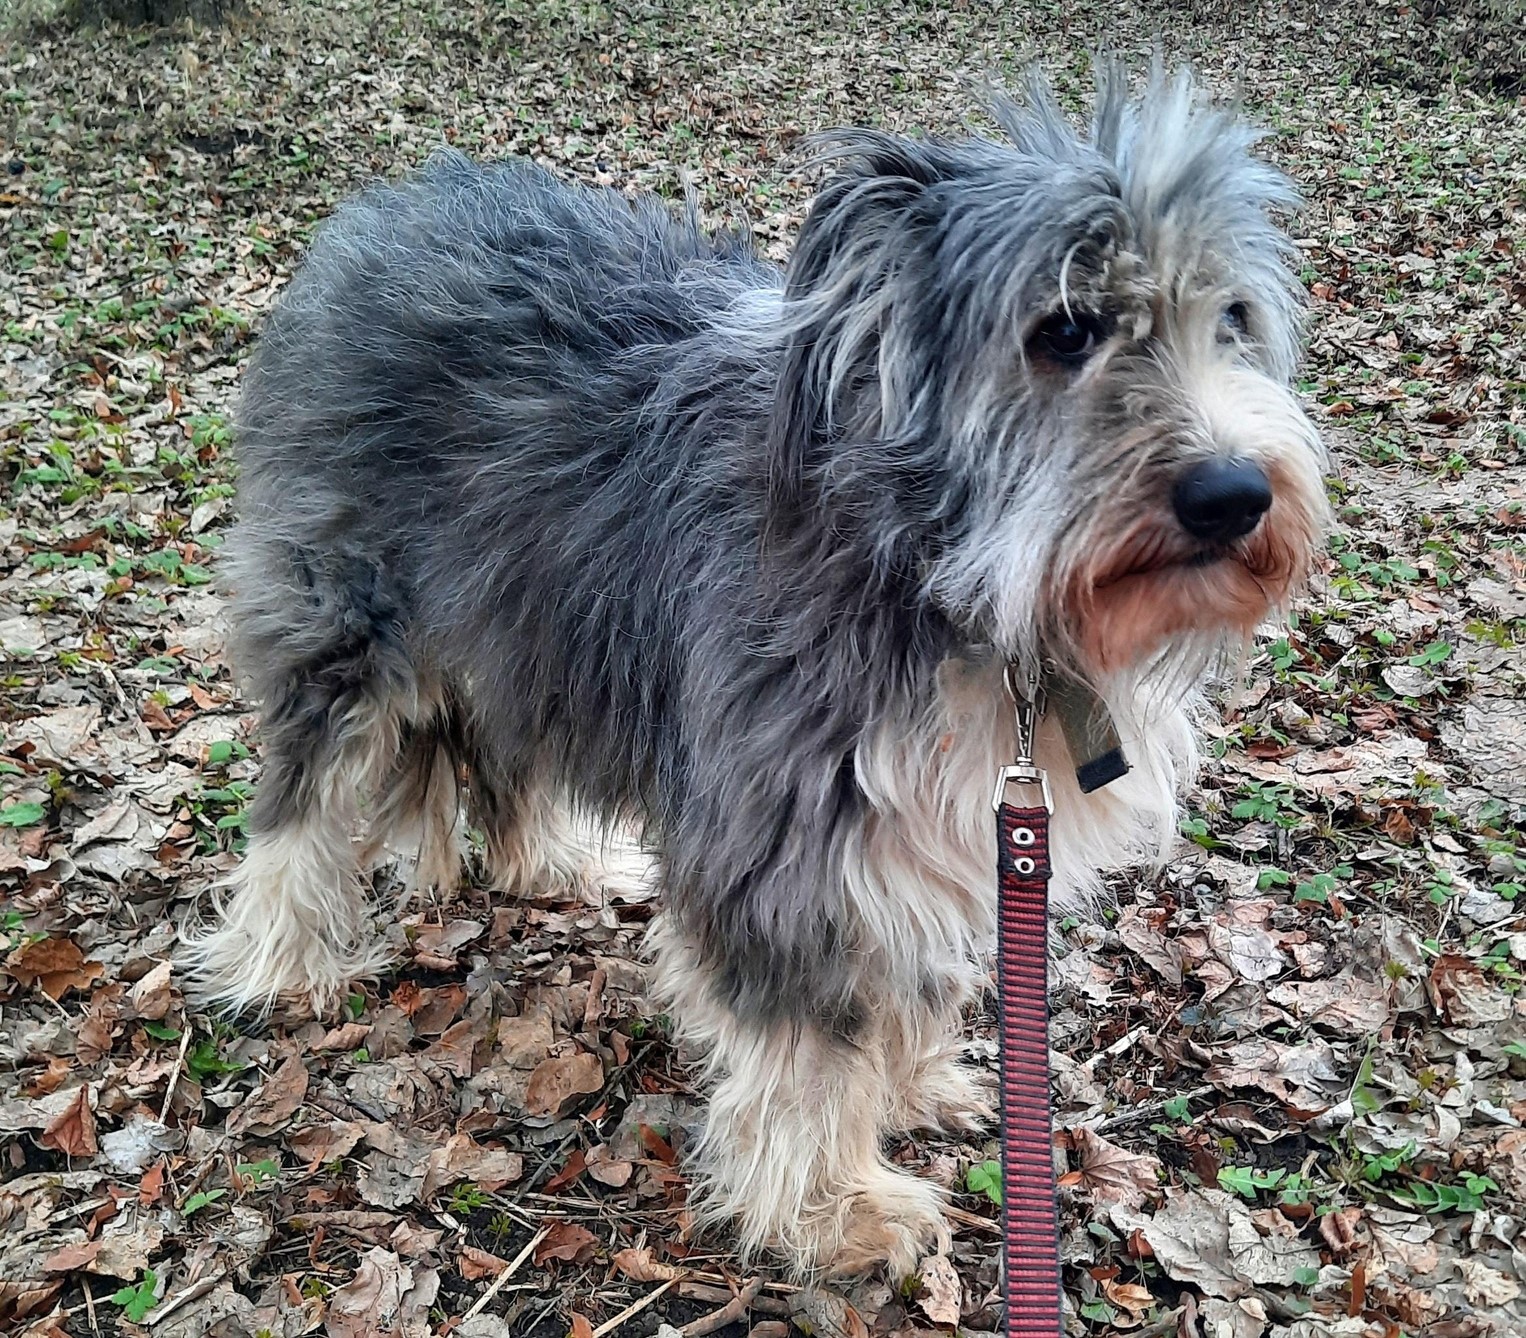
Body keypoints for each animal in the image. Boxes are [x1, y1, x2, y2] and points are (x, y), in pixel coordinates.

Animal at [181, 70, 1324, 1275]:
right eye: (1065, 329)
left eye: (1231, 319)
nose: (1235, 493)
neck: (936, 568)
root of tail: (384, 209)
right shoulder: (785, 839)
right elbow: (808, 1048)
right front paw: (832, 1206)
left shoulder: (932, 823)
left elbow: (906, 983)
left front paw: (907, 1082)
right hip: (351, 621)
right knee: (301, 795)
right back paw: (279, 957)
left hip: (519, 613)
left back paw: (551, 862)